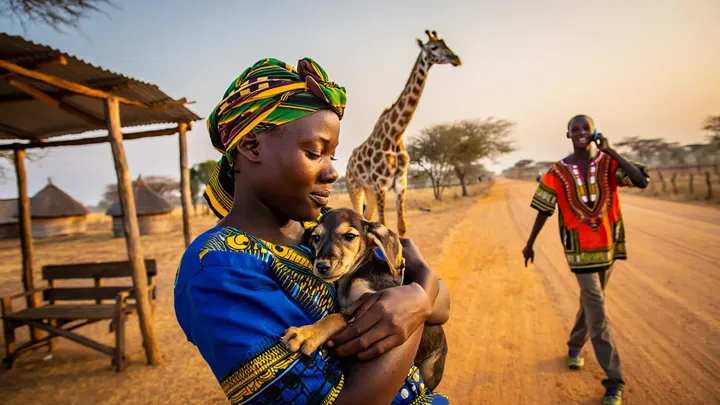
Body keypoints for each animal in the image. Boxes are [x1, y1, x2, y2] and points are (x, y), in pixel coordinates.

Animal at [344, 30, 461, 237]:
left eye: (445, 43)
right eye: (434, 47)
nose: (456, 59)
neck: (395, 134)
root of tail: (349, 163)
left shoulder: (400, 183)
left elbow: (401, 227)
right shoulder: (381, 184)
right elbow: (384, 223)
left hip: (369, 190)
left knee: (366, 216)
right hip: (354, 186)